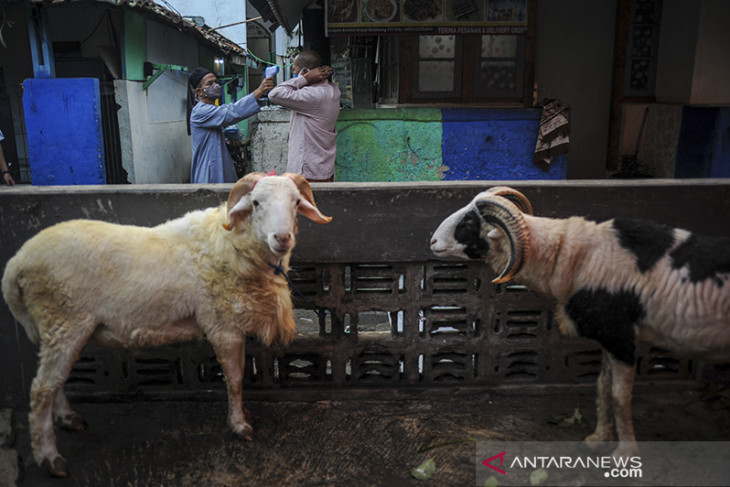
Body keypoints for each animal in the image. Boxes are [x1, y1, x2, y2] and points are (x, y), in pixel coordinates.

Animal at [1, 172, 332, 476]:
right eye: (256, 203)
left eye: (296, 202)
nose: (282, 238)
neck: (231, 244)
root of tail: (17, 263)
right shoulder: (222, 325)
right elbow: (236, 378)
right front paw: (239, 424)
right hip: (63, 319)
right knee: (41, 389)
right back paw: (50, 458)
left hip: (58, 327)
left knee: (54, 381)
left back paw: (67, 419)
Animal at [426, 186, 728, 458]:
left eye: (468, 223)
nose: (432, 242)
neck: (575, 255)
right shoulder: (608, 340)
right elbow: (602, 388)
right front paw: (598, 440)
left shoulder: (620, 337)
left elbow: (619, 398)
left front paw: (624, 454)